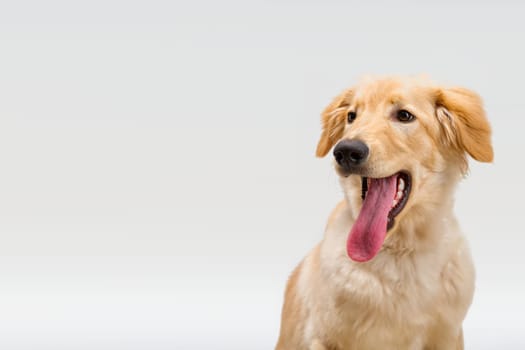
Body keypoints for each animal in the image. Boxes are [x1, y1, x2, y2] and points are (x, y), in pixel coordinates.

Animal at [274, 76, 492, 350]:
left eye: (404, 115)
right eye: (352, 116)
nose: (346, 151)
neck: (400, 250)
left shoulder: (447, 336)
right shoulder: (323, 338)